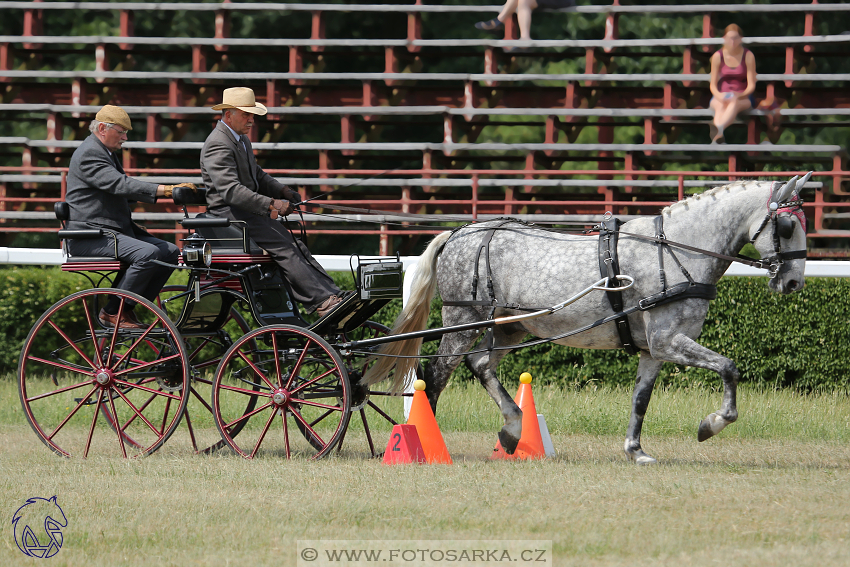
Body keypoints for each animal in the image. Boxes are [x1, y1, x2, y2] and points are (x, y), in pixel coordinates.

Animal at [362, 176, 804, 462]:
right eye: (787, 225)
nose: (794, 282)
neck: (675, 250)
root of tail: (459, 233)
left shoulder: (655, 349)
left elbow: (641, 398)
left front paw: (635, 450)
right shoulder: (667, 340)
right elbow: (728, 367)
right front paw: (712, 424)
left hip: (511, 325)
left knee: (481, 363)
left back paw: (512, 429)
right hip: (464, 319)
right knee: (436, 375)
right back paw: (427, 440)